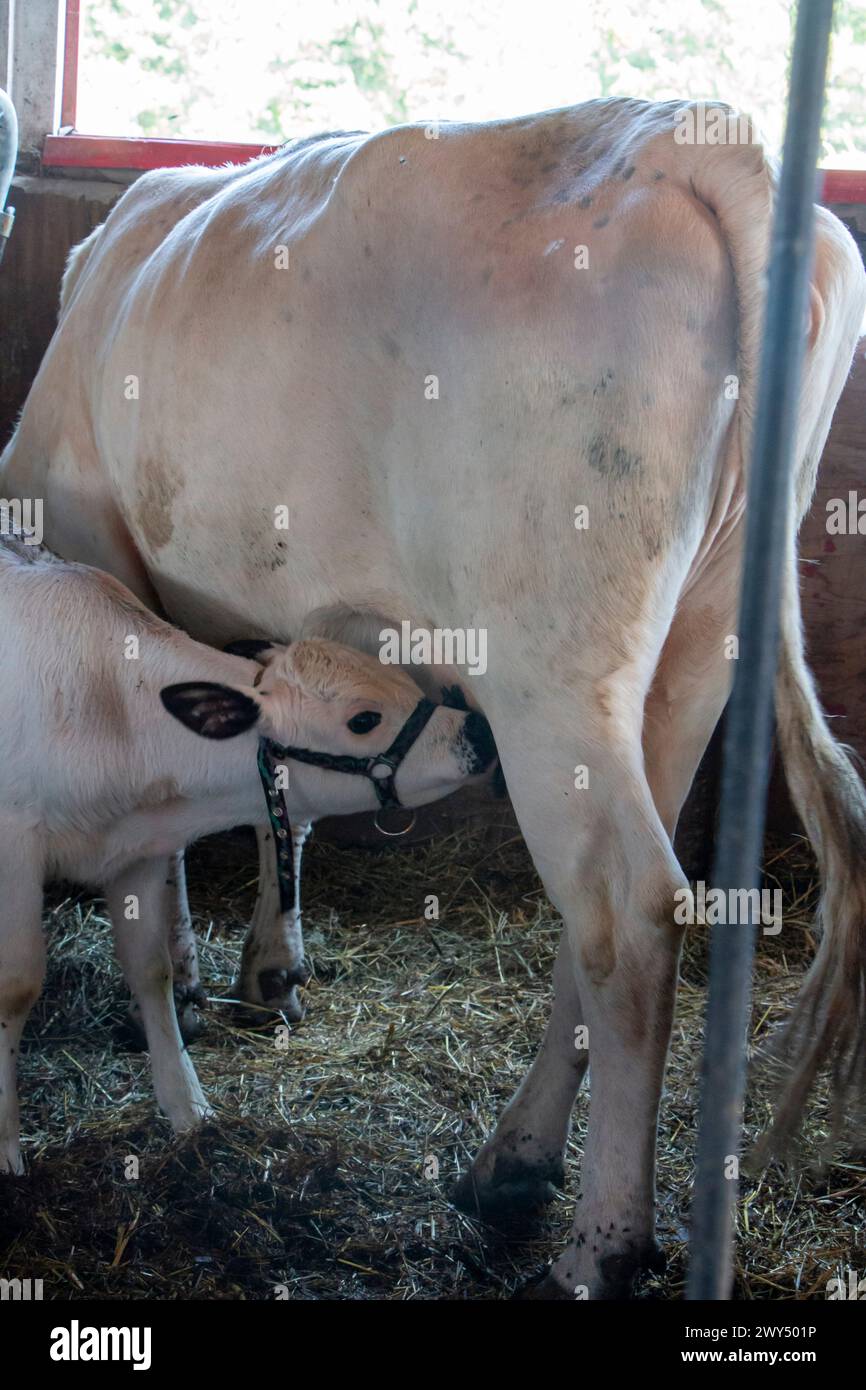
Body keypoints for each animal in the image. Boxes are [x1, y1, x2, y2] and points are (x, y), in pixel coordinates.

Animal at [0, 528, 496, 1175]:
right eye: (364, 719)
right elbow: (16, 985)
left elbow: (151, 970)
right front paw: (6, 1143)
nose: (480, 733)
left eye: (410, 686)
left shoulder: (134, 851)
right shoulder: (15, 849)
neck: (109, 709)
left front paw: (188, 1108)